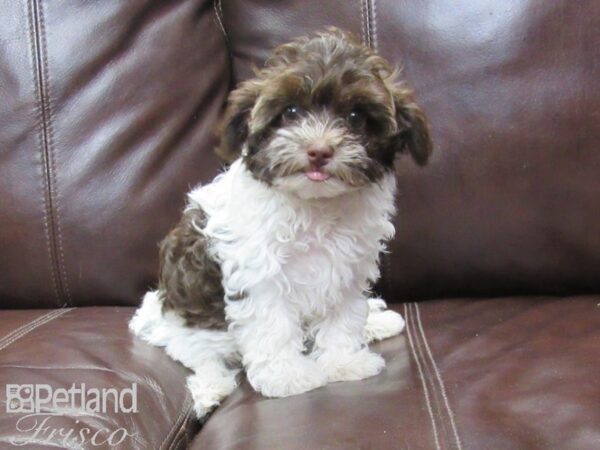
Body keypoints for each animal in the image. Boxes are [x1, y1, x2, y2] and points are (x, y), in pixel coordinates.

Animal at [130, 28, 432, 416]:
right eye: (290, 111)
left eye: (355, 116)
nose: (319, 151)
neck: (315, 205)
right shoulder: (259, 275)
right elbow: (271, 325)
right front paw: (287, 376)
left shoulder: (346, 267)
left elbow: (343, 316)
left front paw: (343, 363)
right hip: (189, 328)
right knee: (201, 356)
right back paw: (211, 387)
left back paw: (376, 321)